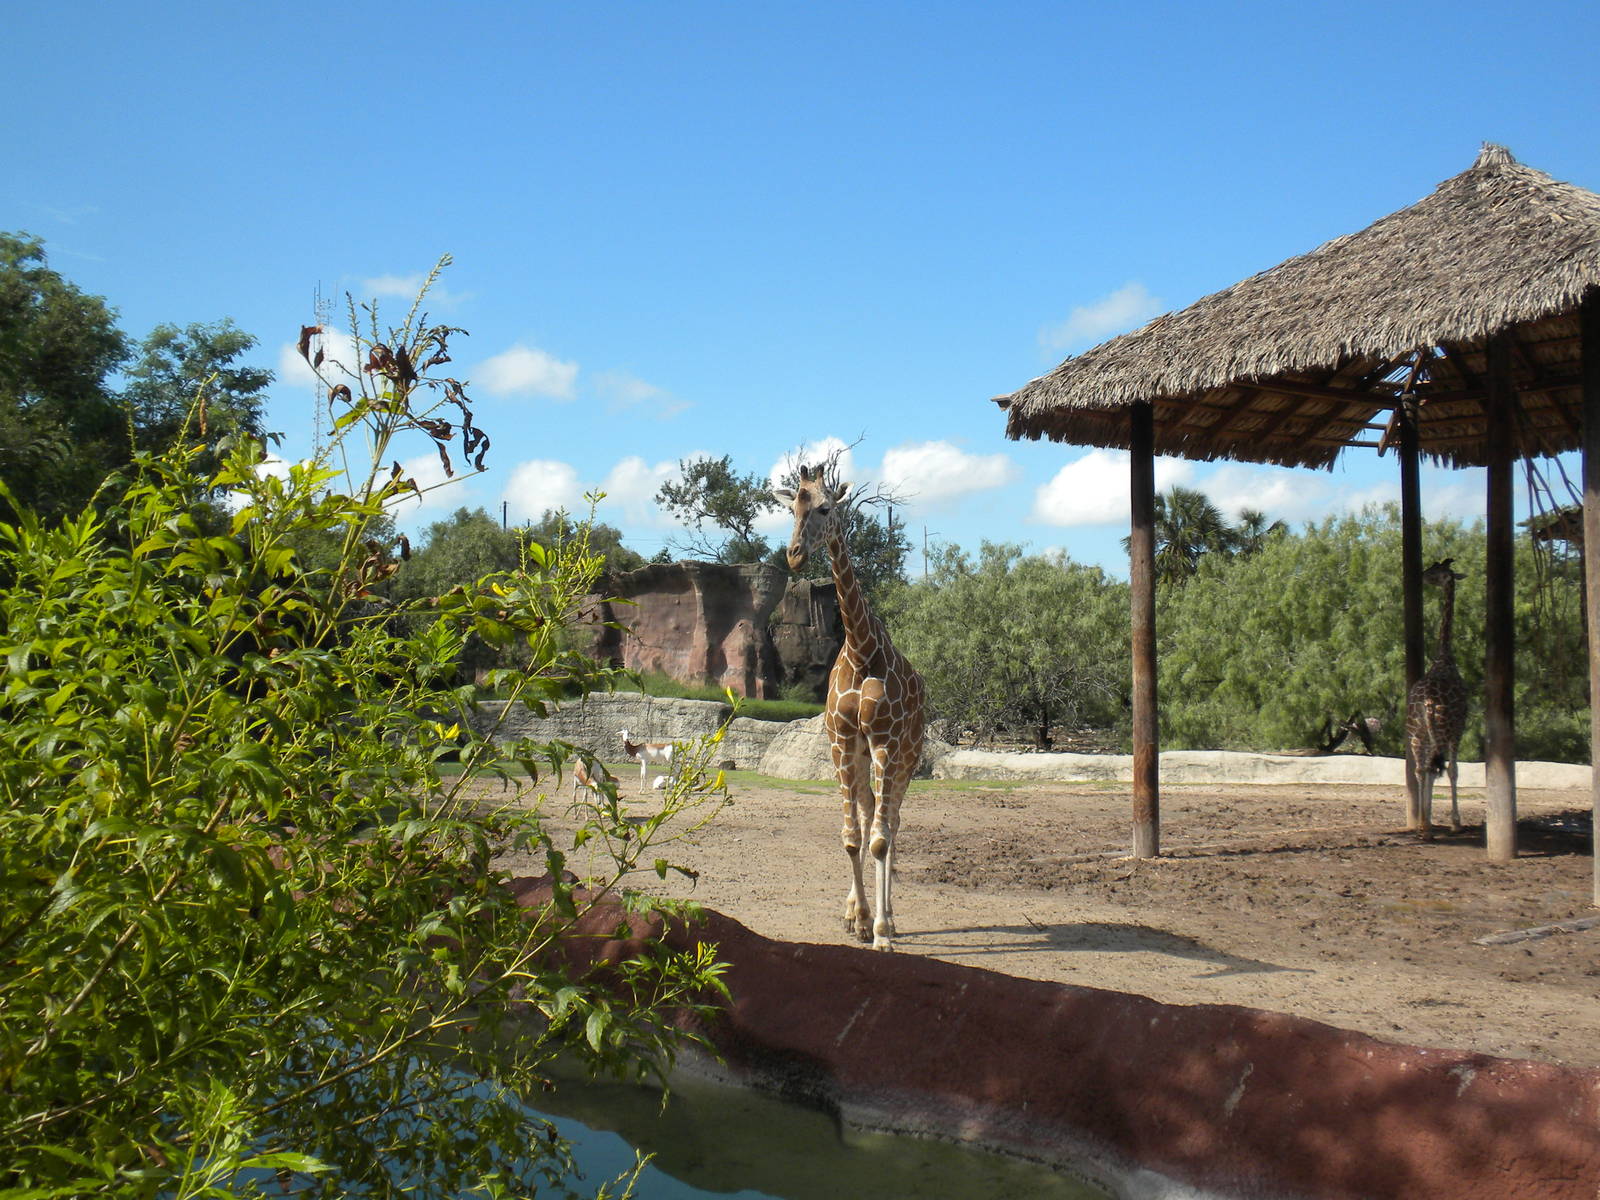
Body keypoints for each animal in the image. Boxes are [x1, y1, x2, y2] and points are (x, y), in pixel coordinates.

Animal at [774, 463, 925, 951]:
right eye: (792, 506)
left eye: (825, 507)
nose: (794, 556)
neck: (861, 651)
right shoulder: (842, 742)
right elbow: (852, 837)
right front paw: (857, 919)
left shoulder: (885, 743)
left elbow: (878, 839)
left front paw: (880, 933)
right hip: (861, 757)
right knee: (869, 815)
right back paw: (859, 912)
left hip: (907, 756)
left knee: (892, 823)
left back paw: (891, 919)